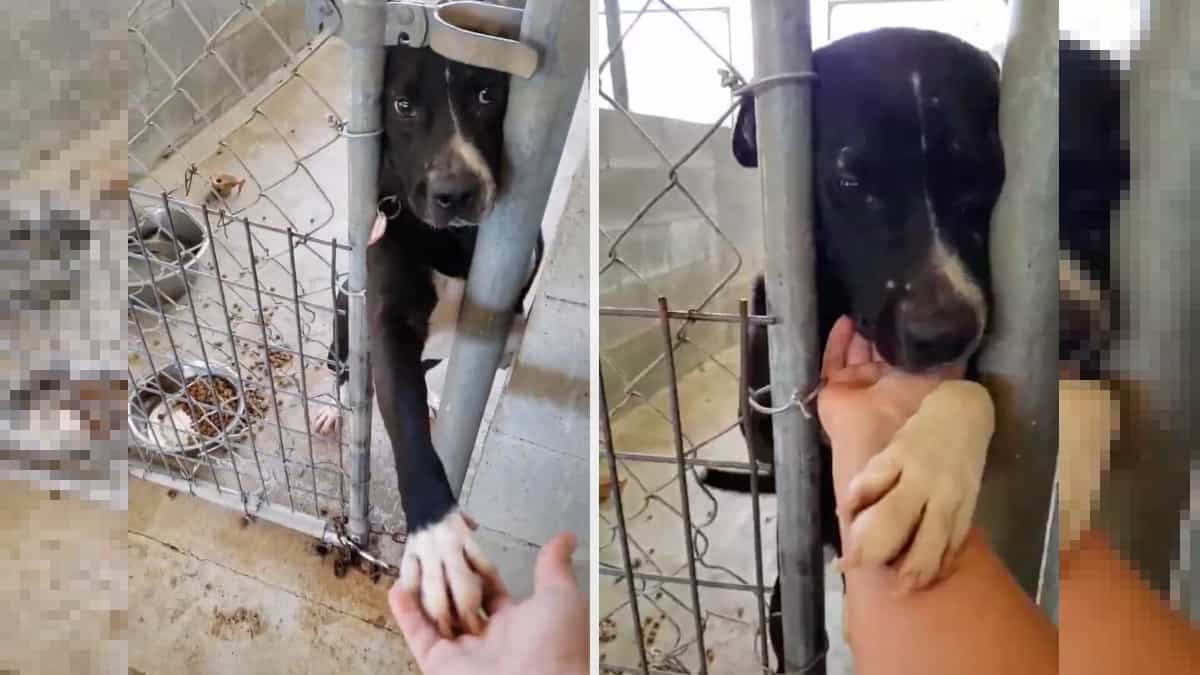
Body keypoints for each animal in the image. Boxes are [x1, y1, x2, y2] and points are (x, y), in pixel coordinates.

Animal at [316, 28, 547, 634]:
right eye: (401, 105)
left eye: (489, 94)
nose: (455, 192)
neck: (450, 240)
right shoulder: (386, 325)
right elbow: (408, 431)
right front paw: (440, 541)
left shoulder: (519, 267)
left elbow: (516, 315)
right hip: (344, 326)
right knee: (342, 371)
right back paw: (333, 406)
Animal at [705, 27, 1008, 667]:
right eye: (851, 182)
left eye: (981, 176)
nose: (944, 336)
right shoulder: (765, 423)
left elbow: (972, 395)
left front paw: (926, 473)